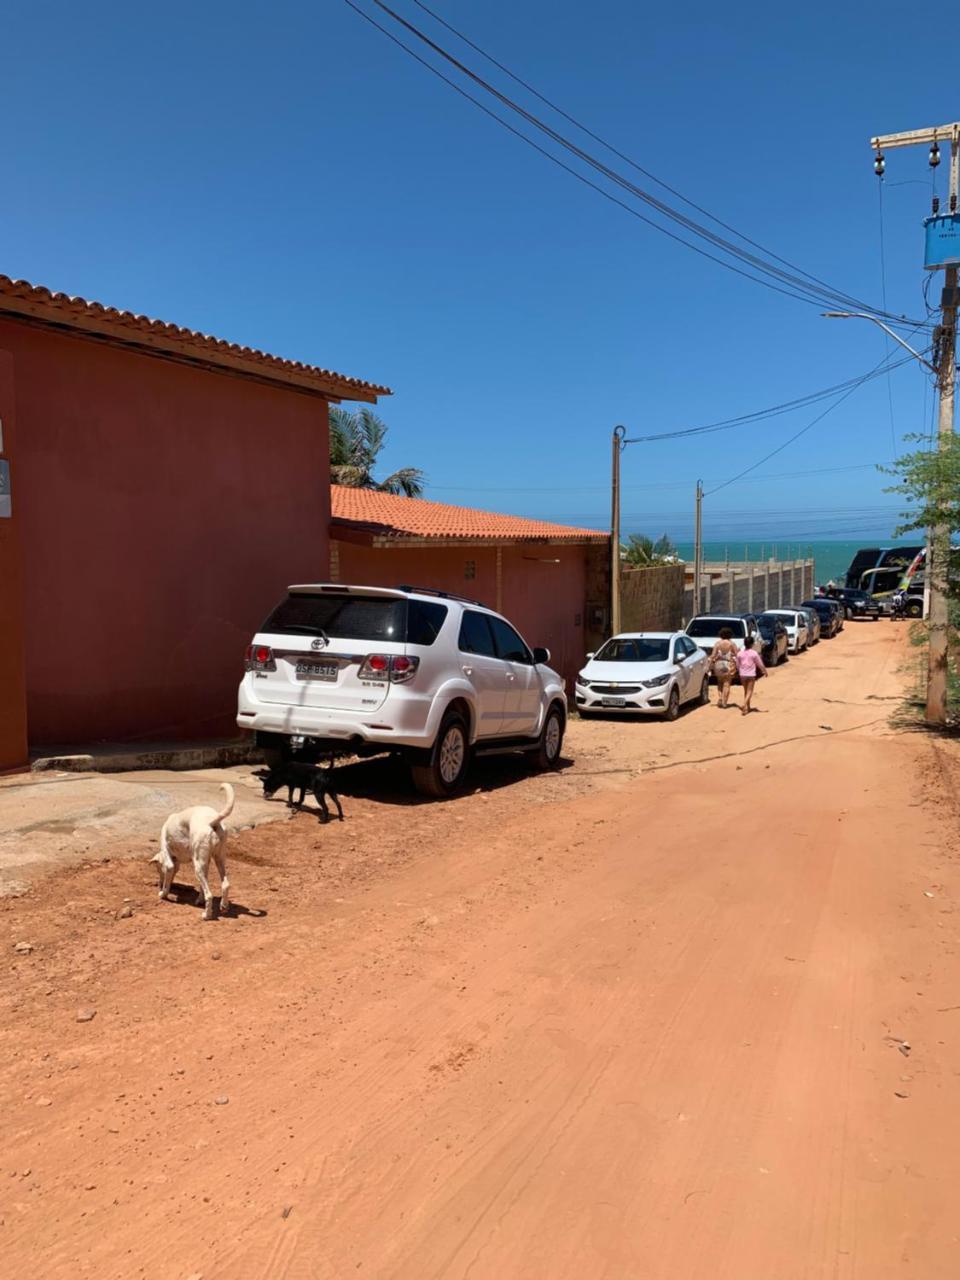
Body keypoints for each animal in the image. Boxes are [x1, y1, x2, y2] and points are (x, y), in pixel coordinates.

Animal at [156, 778, 235, 921]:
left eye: (159, 868)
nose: (158, 882)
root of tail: (212, 821)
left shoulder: (169, 862)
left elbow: (168, 877)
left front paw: (163, 894)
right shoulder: (205, 863)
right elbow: (203, 885)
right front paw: (199, 900)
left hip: (197, 866)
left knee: (210, 894)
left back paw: (206, 915)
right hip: (218, 859)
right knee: (226, 884)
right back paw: (224, 906)